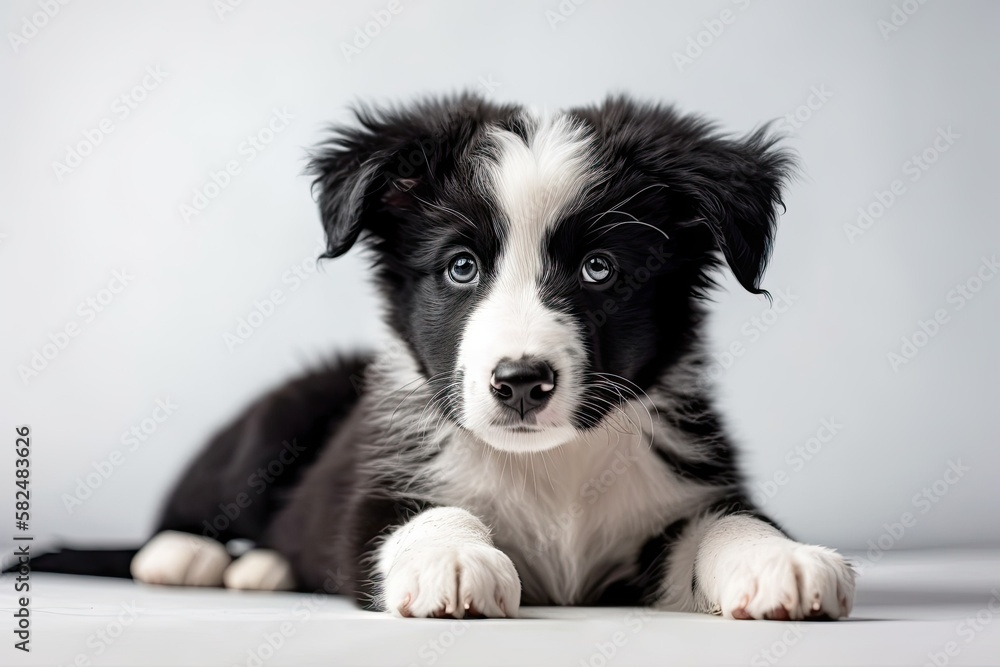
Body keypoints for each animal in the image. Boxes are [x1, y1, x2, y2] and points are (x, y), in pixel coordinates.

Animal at [125, 94, 860, 620]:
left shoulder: (677, 499)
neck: (553, 466)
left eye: (599, 268)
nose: (522, 382)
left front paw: (782, 560)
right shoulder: (372, 495)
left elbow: (726, 521)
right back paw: (188, 555)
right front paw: (451, 558)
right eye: (461, 266)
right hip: (278, 415)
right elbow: (420, 514)